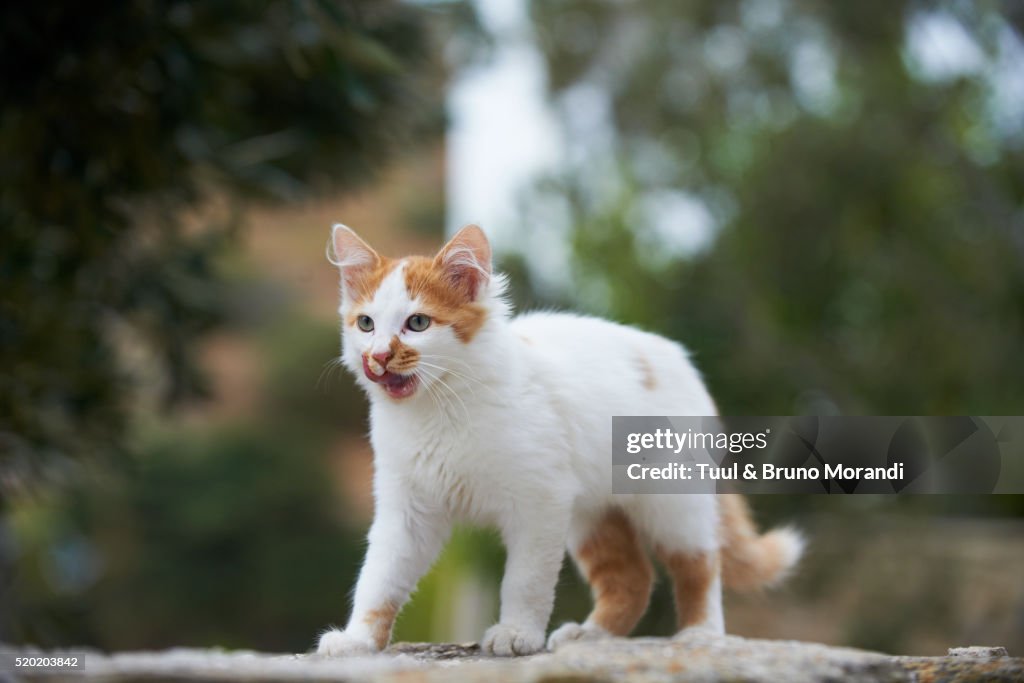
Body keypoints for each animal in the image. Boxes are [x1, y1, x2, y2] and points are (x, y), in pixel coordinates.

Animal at [315, 224, 802, 655]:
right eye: (365, 324)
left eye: (417, 323)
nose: (378, 356)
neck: (439, 411)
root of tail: (678, 359)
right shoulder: (407, 510)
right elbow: (379, 578)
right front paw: (359, 640)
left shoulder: (539, 501)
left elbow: (524, 580)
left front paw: (516, 633)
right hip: (593, 513)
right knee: (632, 579)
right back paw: (592, 636)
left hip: (670, 500)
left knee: (699, 563)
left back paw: (701, 634)